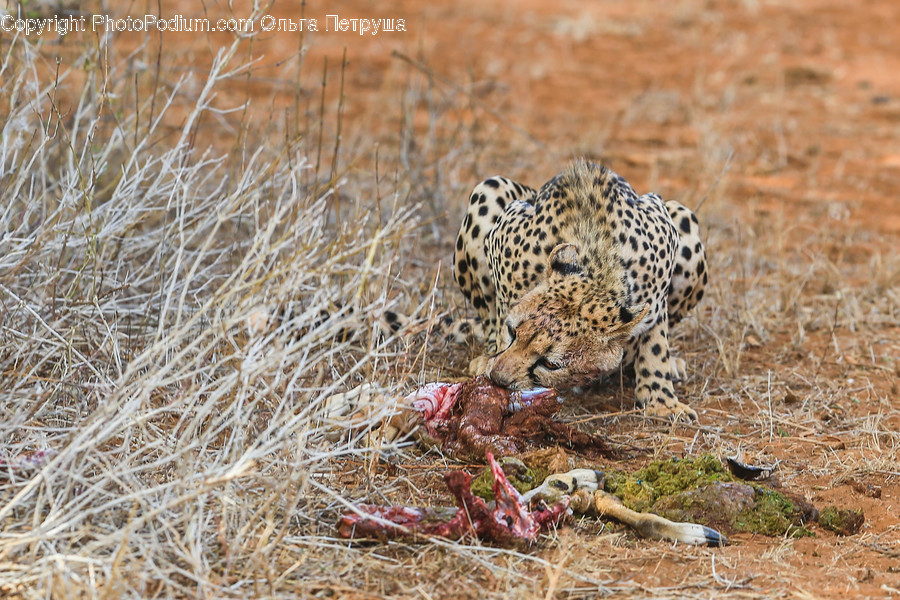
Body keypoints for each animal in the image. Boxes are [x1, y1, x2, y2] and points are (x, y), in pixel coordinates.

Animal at [453, 159, 708, 420]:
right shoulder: (504, 231)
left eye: (551, 364)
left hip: (686, 221)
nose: (498, 379)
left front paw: (662, 400)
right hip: (489, 188)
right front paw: (490, 358)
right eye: (513, 332)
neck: (598, 264)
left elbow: (655, 342)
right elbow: (494, 310)